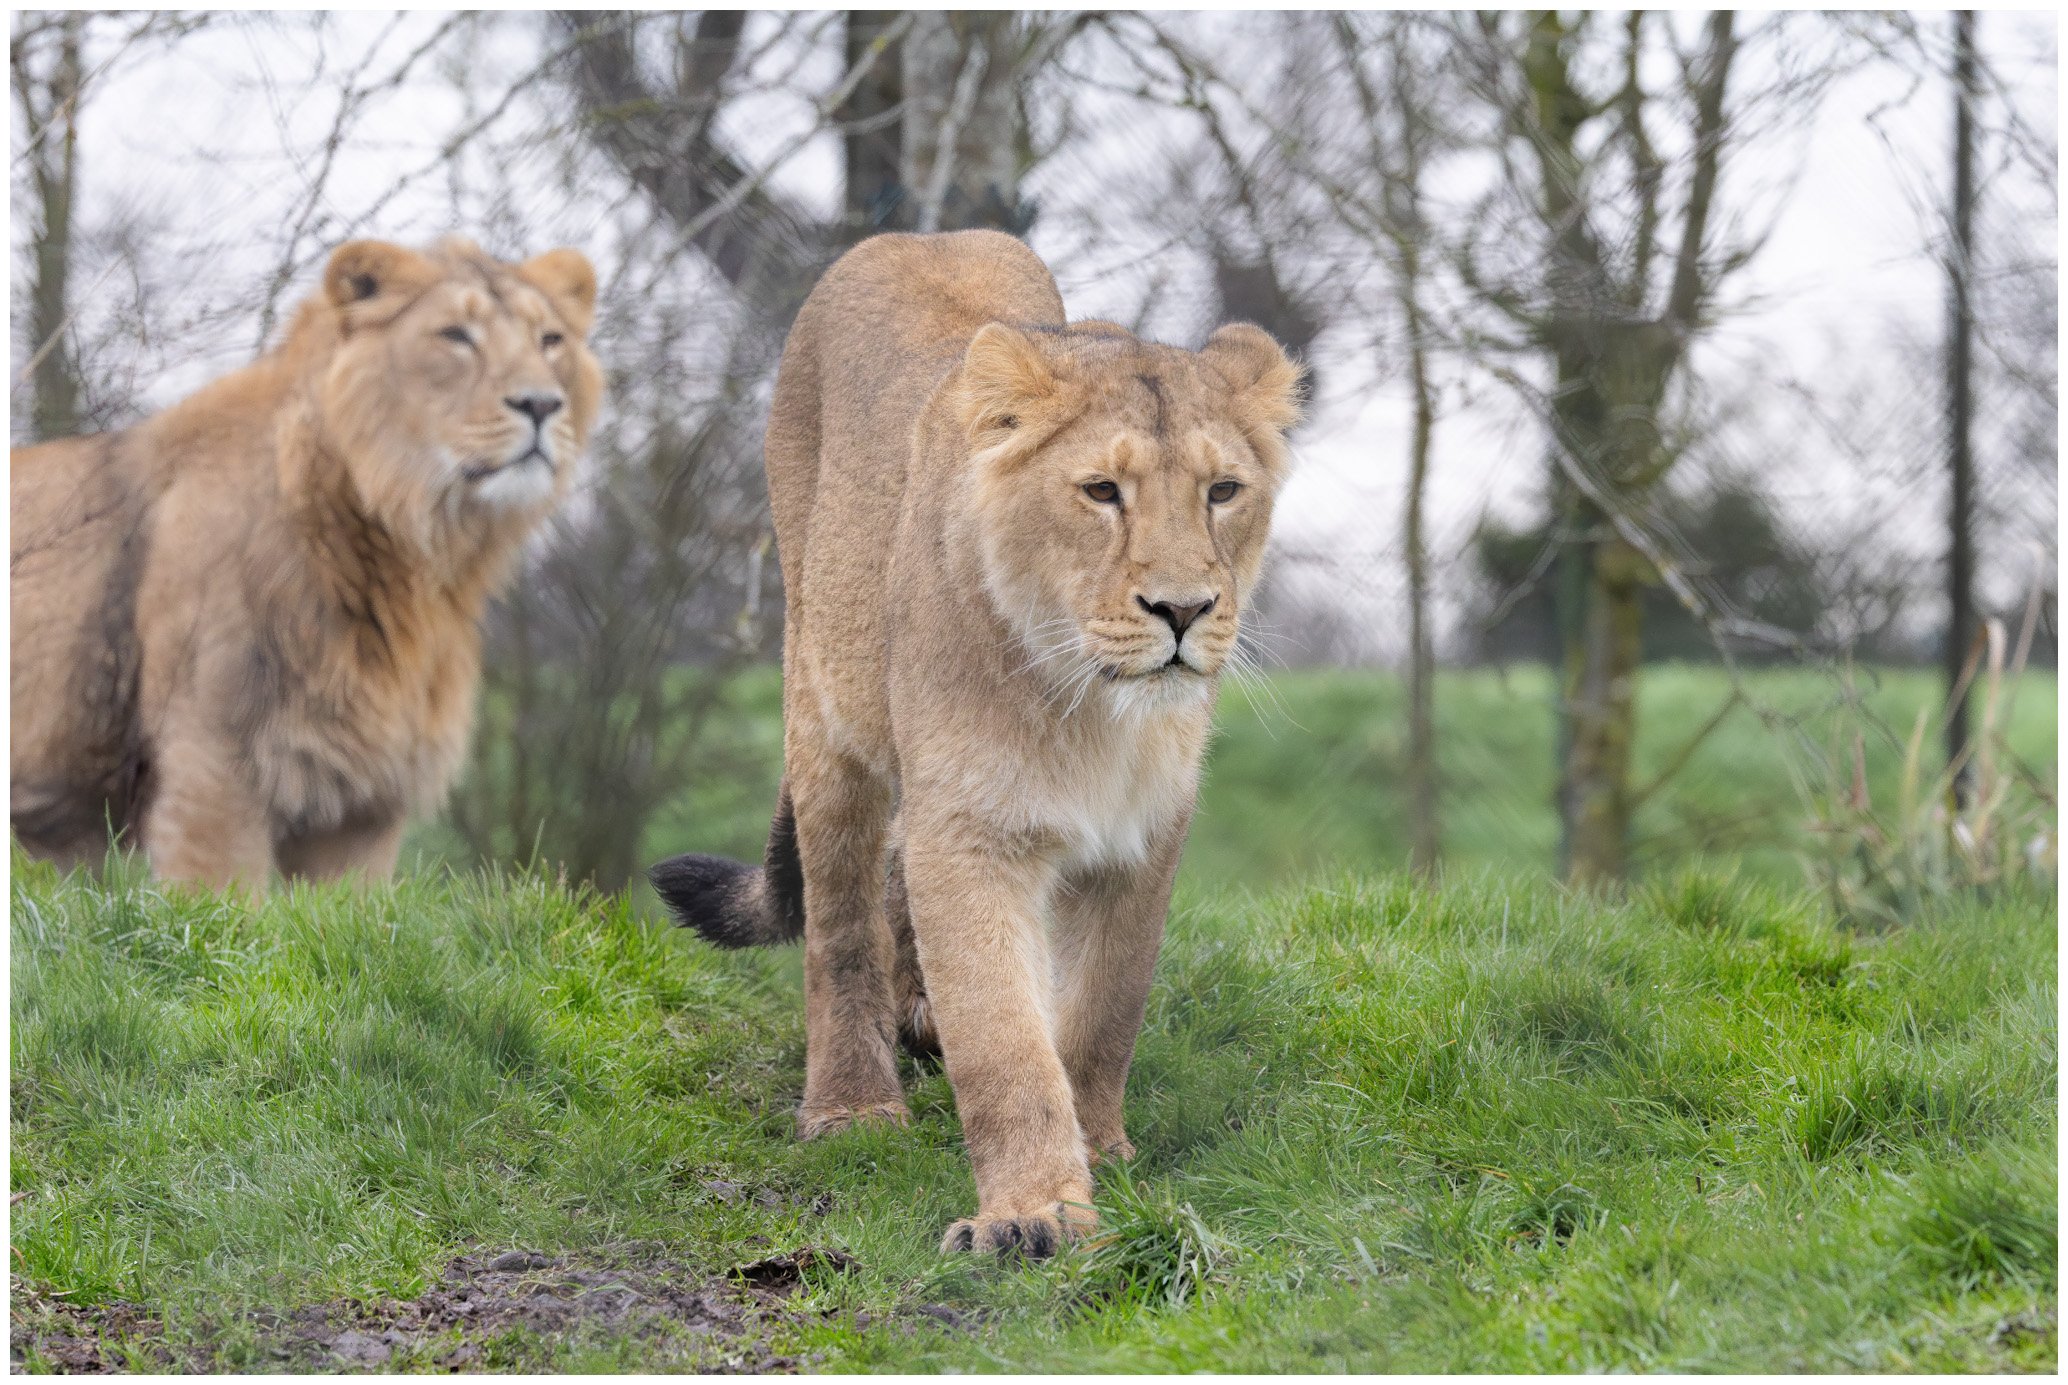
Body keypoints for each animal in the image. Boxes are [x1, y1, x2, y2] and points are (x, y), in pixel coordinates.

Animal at [10, 236, 604, 891]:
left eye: (549, 340)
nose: (542, 403)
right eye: (455, 334)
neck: (414, 556)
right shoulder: (211, 766)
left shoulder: (361, 805)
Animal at [649, 229, 1301, 1258]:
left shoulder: (1146, 835)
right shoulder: (970, 830)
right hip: (823, 709)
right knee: (842, 925)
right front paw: (1033, 1215)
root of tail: (909, 236)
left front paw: (1101, 1148)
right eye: (1101, 491)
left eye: (1223, 491)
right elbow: (1003, 1036)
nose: (1184, 609)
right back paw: (851, 1107)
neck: (1091, 710)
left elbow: (1104, 1008)